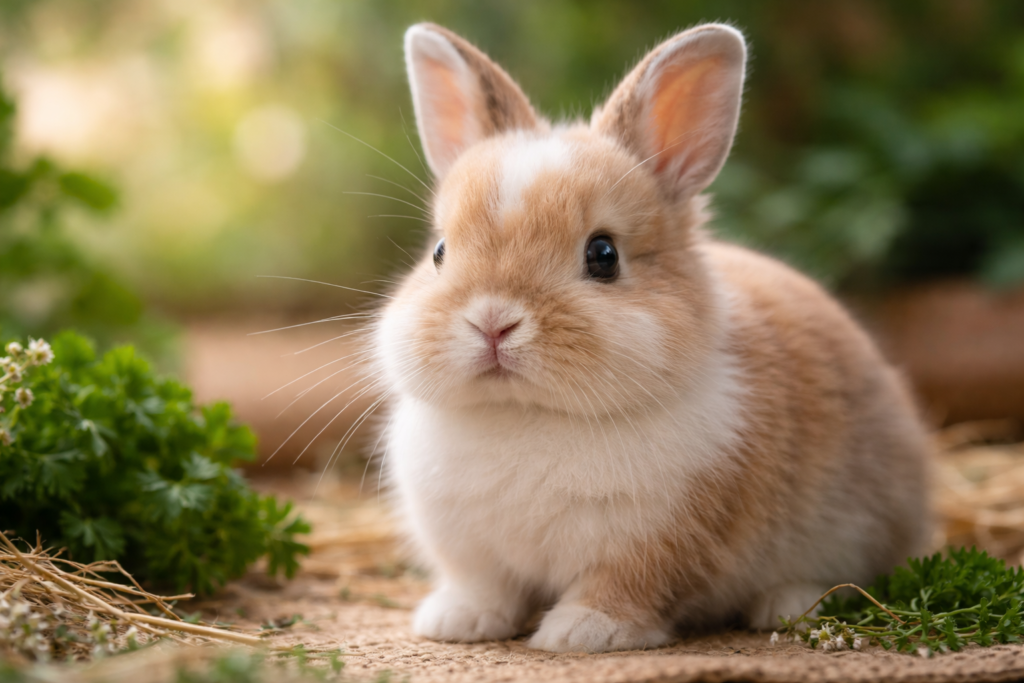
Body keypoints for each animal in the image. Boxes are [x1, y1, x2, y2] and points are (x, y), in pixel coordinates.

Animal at [372, 22, 931, 653]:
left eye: (604, 255)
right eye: (440, 252)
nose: (493, 321)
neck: (526, 412)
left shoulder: (658, 543)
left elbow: (626, 588)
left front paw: (582, 633)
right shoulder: (471, 551)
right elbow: (483, 587)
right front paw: (456, 623)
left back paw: (784, 607)